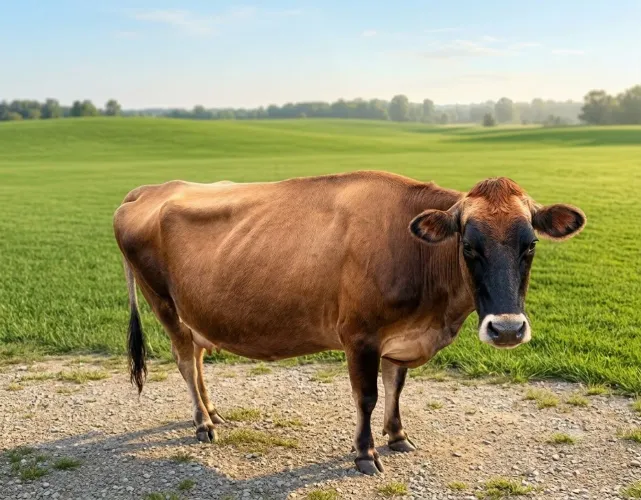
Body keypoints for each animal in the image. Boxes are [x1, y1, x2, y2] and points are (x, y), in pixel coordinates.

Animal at [113, 171, 586, 475]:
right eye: (468, 246)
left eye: (530, 244)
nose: (507, 329)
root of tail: (149, 189)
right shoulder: (360, 336)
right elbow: (367, 397)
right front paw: (365, 453)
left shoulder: (401, 335)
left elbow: (396, 387)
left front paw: (397, 436)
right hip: (163, 302)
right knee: (185, 361)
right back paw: (202, 423)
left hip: (195, 313)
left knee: (197, 359)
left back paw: (213, 412)